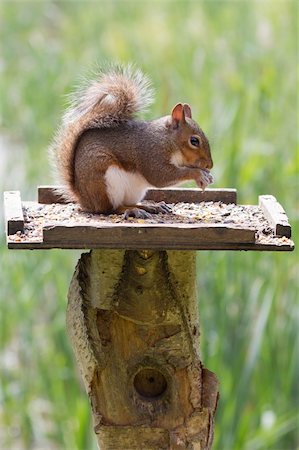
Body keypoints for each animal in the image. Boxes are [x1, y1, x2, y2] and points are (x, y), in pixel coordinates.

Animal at [49, 64, 213, 219]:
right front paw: (198, 174)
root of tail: (84, 199)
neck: (168, 140)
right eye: (194, 141)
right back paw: (134, 210)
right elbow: (160, 177)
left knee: (125, 203)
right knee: (111, 209)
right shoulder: (151, 153)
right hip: (107, 182)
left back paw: (150, 206)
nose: (209, 165)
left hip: (133, 191)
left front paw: (207, 175)